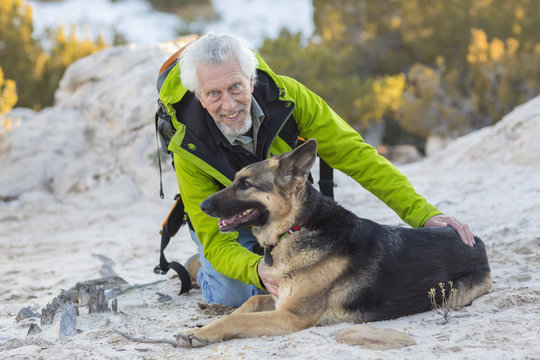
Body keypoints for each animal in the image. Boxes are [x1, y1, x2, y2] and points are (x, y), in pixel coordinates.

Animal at [176, 139, 490, 346]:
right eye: (235, 180)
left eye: (245, 184)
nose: (200, 205)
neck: (294, 228)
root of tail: (477, 241)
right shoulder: (279, 300)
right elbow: (249, 302)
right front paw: (207, 323)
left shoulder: (292, 315)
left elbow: (238, 319)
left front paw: (198, 333)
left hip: (454, 296)